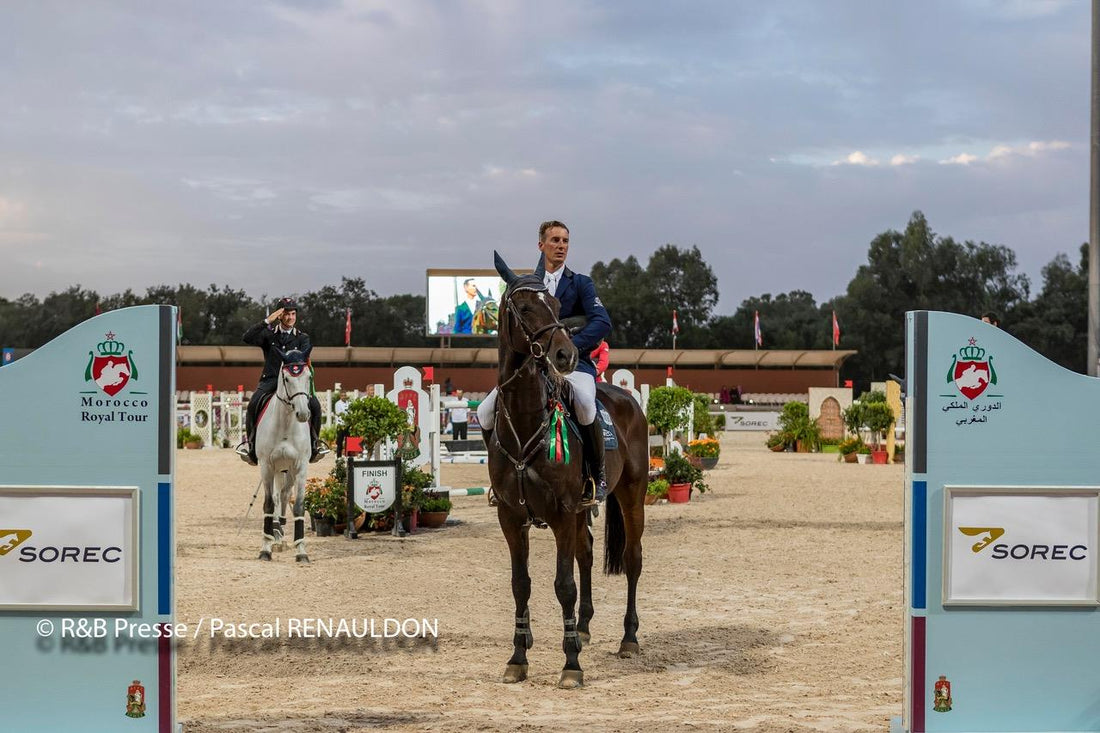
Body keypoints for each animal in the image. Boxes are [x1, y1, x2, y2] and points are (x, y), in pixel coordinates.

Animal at [255, 345, 312, 561]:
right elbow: (269, 504)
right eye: (287, 378)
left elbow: (299, 506)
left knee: (286, 494)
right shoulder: (267, 466)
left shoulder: (301, 467)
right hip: (277, 469)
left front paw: (301, 550)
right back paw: (275, 534)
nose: (303, 414)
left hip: (288, 470)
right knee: (279, 496)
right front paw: (265, 548)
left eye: (308, 376)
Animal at [486, 250, 646, 686]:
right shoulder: (511, 516)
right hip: (581, 510)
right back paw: (585, 628)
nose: (566, 355)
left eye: (558, 307)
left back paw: (628, 639)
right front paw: (518, 657)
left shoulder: (561, 512)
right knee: (586, 553)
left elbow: (563, 585)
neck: (526, 421)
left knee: (632, 559)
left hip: (631, 495)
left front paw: (571, 663)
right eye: (525, 307)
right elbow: (520, 584)